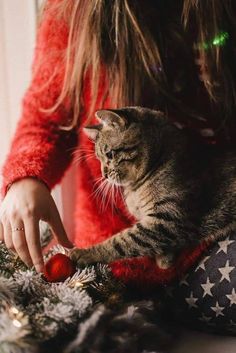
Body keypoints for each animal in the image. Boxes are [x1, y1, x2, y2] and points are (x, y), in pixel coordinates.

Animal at [71, 106, 236, 266]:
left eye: (110, 154)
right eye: (98, 159)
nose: (104, 175)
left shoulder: (168, 219)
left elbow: (123, 242)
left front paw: (84, 253)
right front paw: (164, 259)